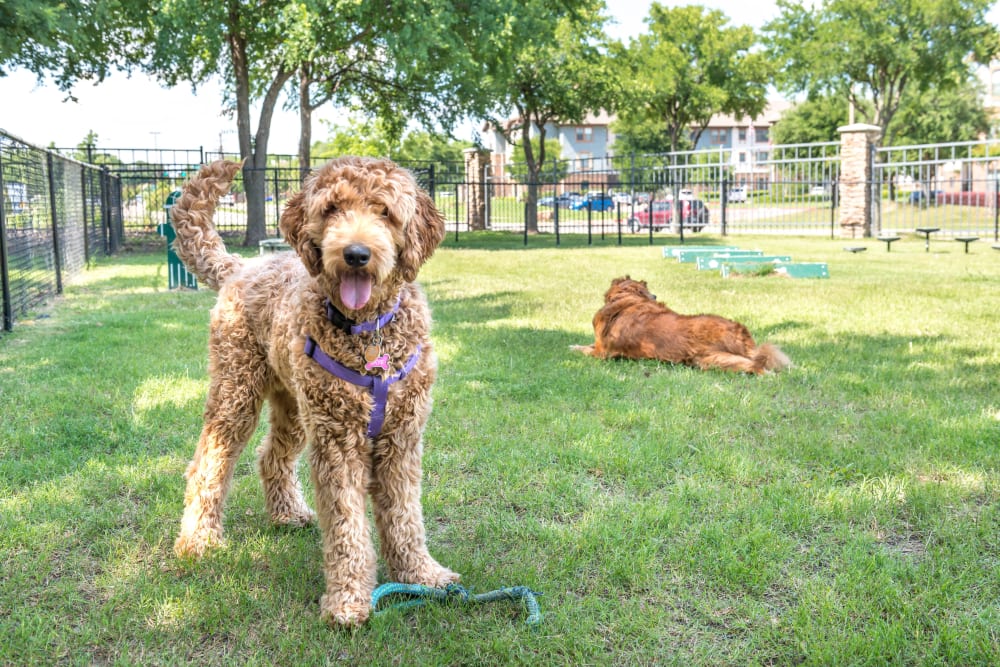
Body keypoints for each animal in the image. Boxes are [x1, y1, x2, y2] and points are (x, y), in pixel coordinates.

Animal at [169, 159, 458, 628]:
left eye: (385, 211)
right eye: (332, 208)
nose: (356, 254)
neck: (367, 331)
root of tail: (241, 267)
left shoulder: (401, 437)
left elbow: (404, 514)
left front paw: (420, 574)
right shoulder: (338, 442)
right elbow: (346, 526)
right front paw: (348, 600)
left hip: (296, 406)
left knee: (271, 456)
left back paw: (286, 512)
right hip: (237, 392)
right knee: (209, 463)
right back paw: (199, 540)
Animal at [572, 274, 788, 374]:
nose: (655, 295)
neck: (627, 298)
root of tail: (738, 332)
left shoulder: (601, 353)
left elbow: (585, 349)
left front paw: (573, 347)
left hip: (718, 358)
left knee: (756, 365)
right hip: (712, 360)